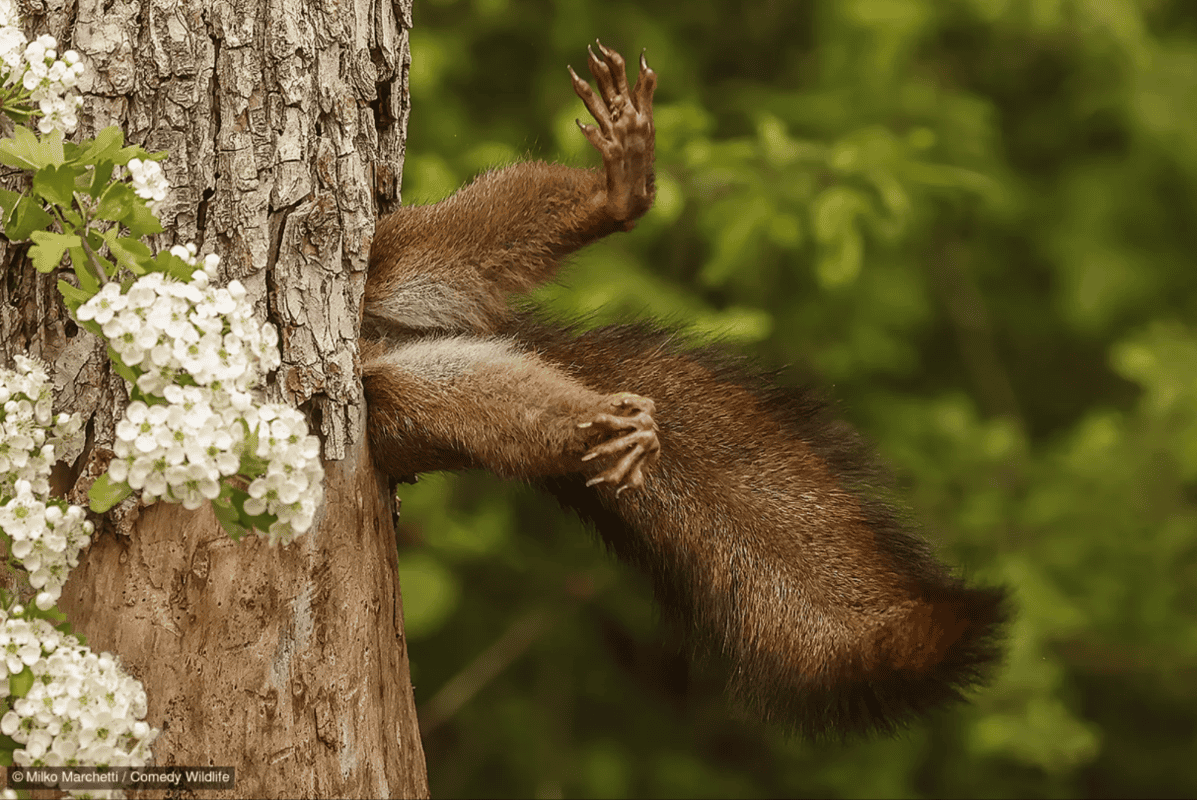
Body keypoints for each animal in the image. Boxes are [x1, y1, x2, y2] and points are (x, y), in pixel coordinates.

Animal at [360, 41, 1008, 738]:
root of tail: (381, 340)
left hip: (397, 257)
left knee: (472, 236)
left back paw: (615, 197)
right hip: (403, 403)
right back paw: (603, 422)